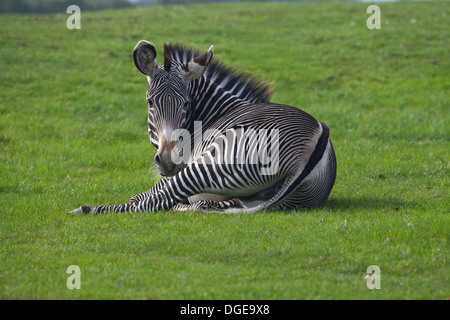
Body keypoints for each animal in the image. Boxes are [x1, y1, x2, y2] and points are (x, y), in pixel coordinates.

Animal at [70, 40, 336, 215]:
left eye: (187, 103)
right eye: (150, 102)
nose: (168, 161)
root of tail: (310, 151)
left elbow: (142, 196)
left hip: (215, 160)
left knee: (152, 203)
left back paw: (87, 209)